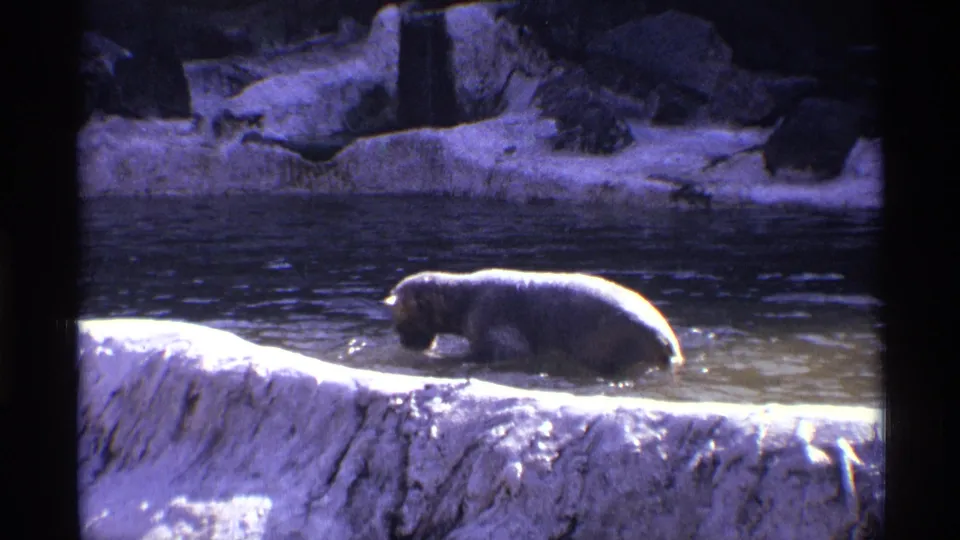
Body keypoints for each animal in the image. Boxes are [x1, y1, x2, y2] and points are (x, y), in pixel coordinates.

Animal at [383, 268, 684, 377]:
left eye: (400, 318)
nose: (405, 343)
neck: (462, 298)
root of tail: (667, 341)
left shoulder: (489, 315)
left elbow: (509, 350)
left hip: (617, 341)